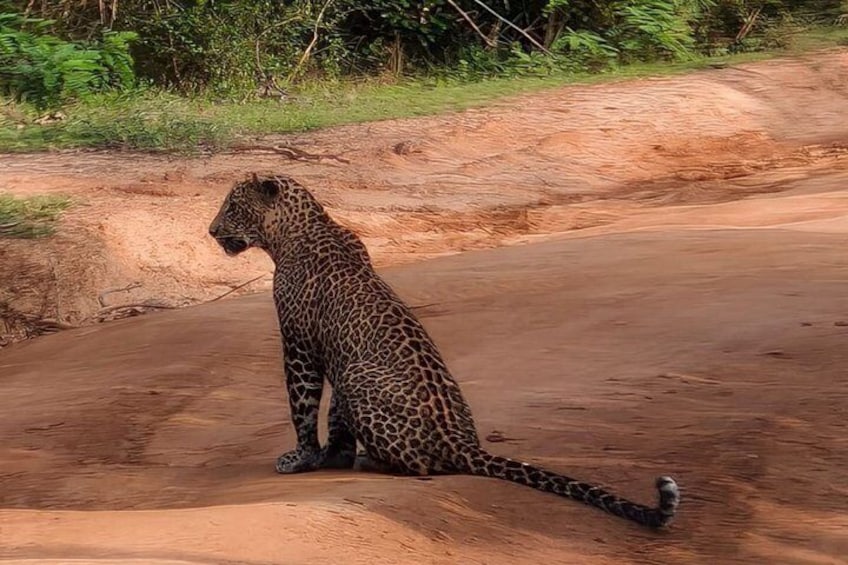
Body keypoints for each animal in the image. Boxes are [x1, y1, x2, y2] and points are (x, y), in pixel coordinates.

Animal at [208, 173, 680, 529]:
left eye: (232, 207)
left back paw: (371, 461)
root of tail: (461, 441)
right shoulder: (338, 355)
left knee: (420, 466)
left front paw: (303, 457)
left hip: (362, 377)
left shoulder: (299, 344)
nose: (212, 231)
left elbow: (302, 407)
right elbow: (336, 414)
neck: (294, 230)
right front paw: (332, 455)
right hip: (357, 372)